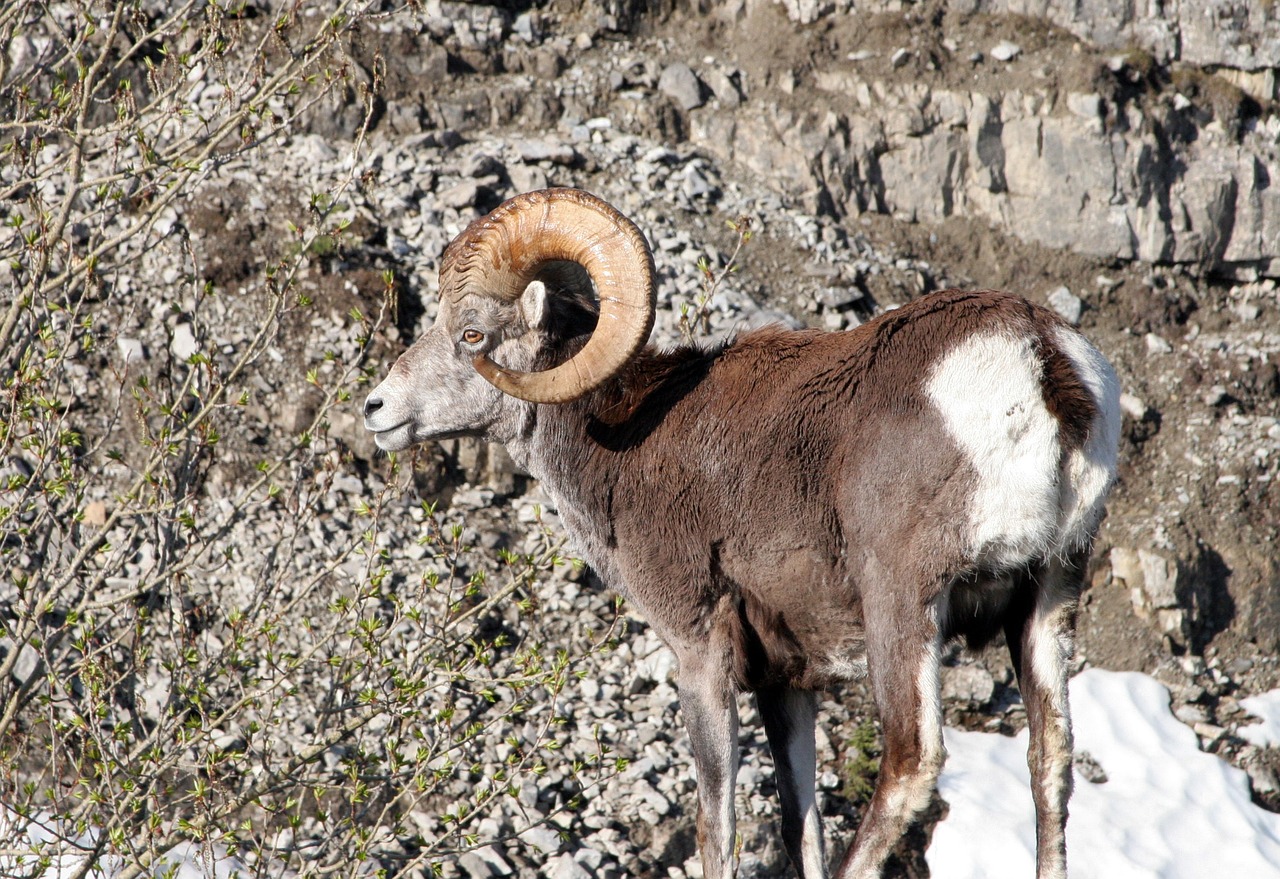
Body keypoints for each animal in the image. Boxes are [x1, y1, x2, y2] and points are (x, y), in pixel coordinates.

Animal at [363, 189, 1121, 875]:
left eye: (473, 336)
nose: (376, 408)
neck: (624, 444)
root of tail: (1039, 360)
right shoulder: (786, 679)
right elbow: (799, 824)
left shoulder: (701, 650)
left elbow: (717, 823)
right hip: (1049, 596)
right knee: (1050, 764)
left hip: (904, 605)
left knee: (913, 761)